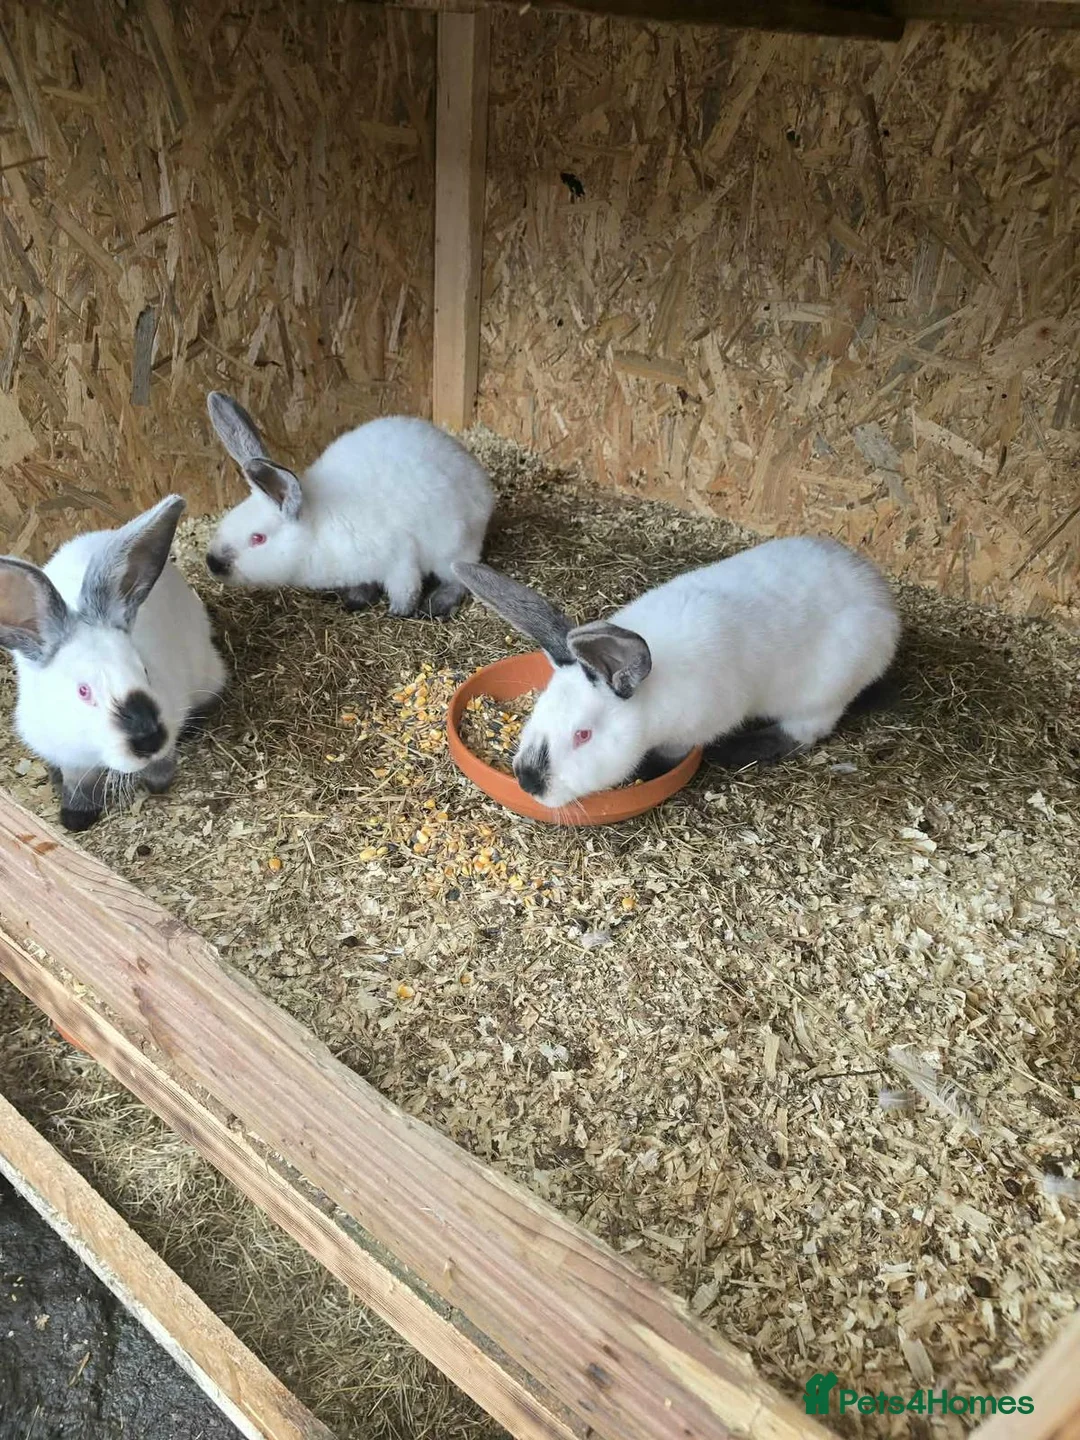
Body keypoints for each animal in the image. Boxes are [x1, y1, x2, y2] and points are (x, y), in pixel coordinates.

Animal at [0, 495, 227, 832]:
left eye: (145, 670)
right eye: (83, 691)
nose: (149, 739)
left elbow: (161, 763)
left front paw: (157, 783)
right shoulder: (67, 755)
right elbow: (77, 784)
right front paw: (75, 818)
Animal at [205, 392, 495, 620]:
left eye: (258, 538)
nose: (212, 563)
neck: (316, 530)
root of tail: (479, 480)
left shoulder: (399, 557)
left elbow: (406, 588)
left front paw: (398, 612)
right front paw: (355, 599)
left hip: (455, 547)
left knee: (458, 579)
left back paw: (437, 604)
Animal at [454, 535, 900, 812]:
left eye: (583, 735)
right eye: (539, 708)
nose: (528, 782)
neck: (652, 697)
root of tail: (882, 598)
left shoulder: (689, 732)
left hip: (824, 690)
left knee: (806, 732)